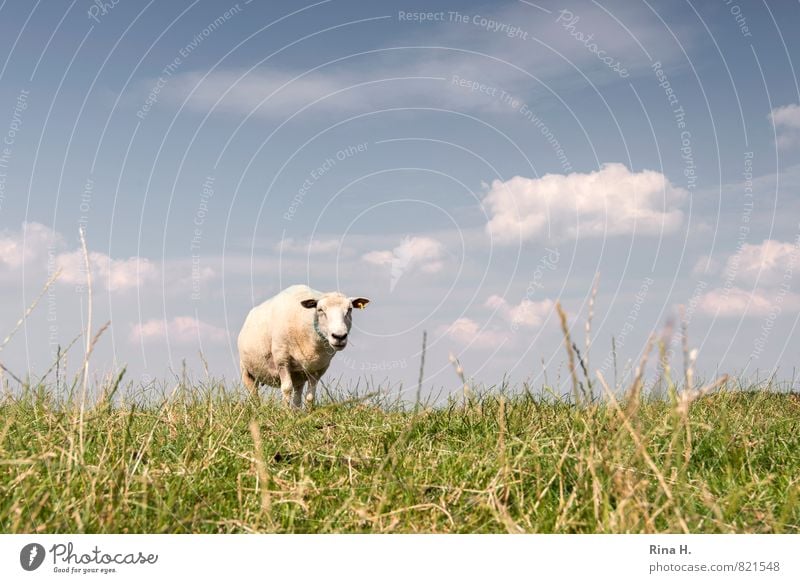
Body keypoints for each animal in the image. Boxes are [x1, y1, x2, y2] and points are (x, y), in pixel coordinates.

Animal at [238, 286, 372, 408]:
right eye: (320, 310)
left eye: (349, 309)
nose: (339, 336)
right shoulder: (282, 360)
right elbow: (286, 389)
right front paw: (284, 413)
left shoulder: (318, 369)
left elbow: (310, 396)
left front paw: (310, 413)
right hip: (247, 371)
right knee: (254, 394)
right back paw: (257, 409)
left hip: (298, 376)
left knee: (297, 396)